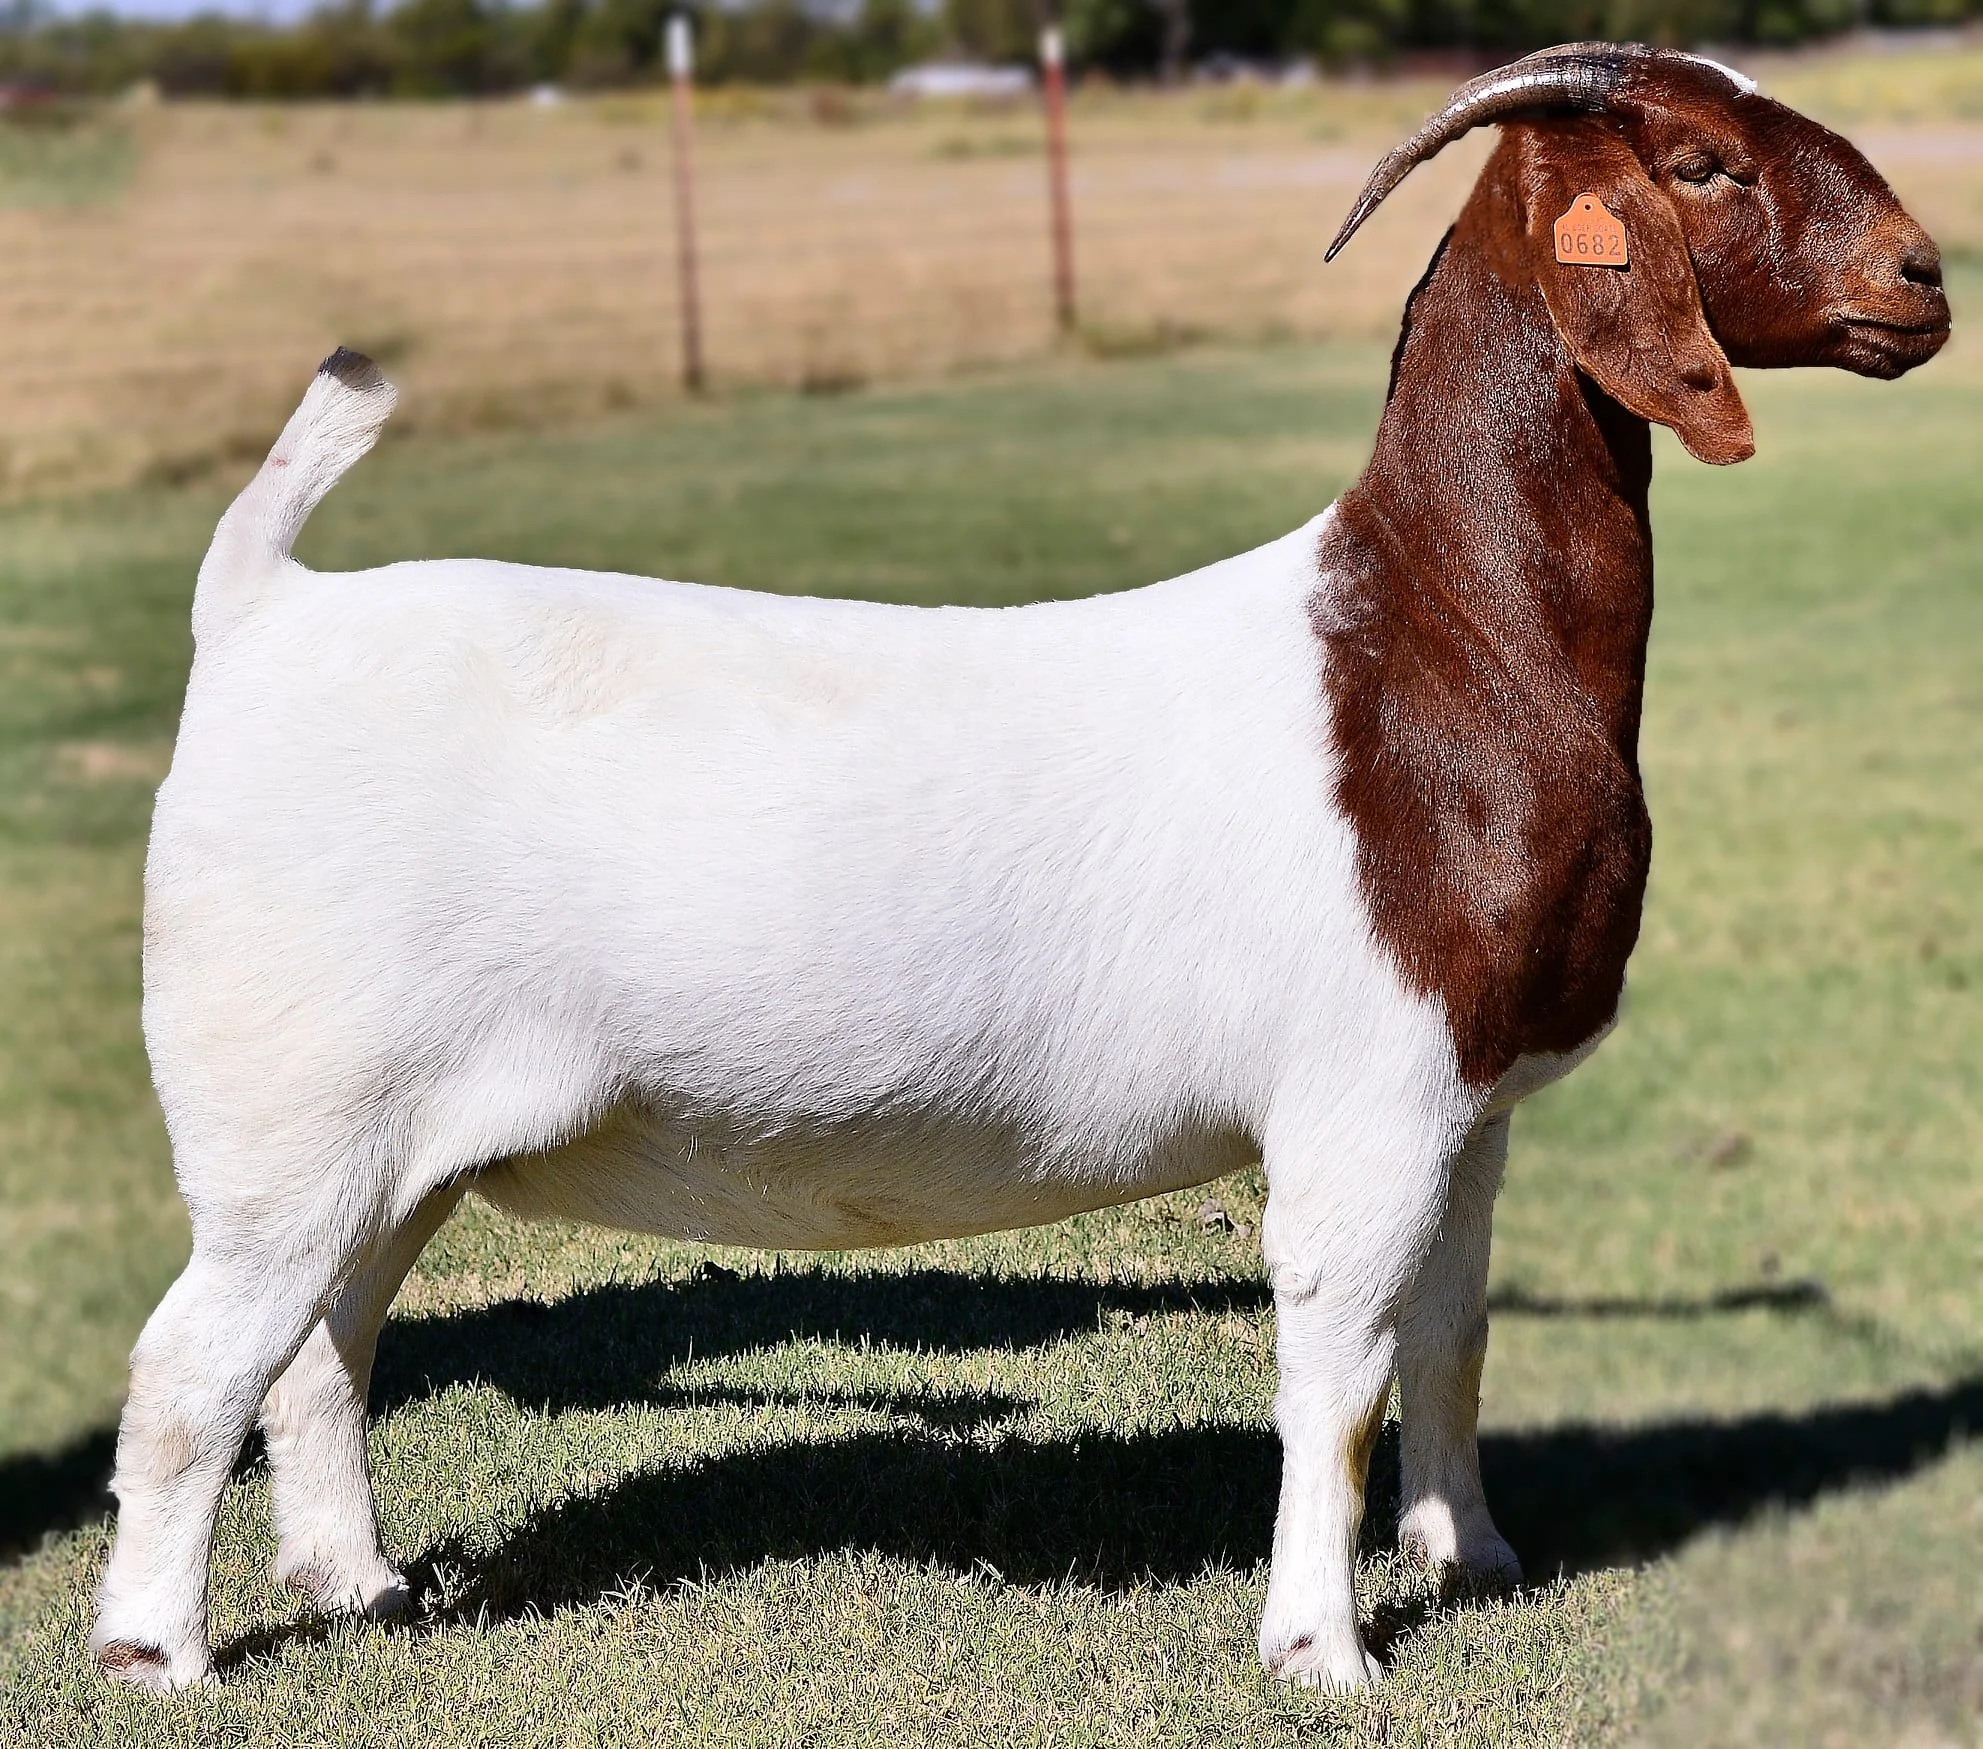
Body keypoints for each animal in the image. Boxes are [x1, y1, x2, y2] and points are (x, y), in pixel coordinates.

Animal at [94, 44, 1948, 1693]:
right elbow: (1333, 1360)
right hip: (290, 1110)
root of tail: (261, 613)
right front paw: (1321, 1648)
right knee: (195, 1363)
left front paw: (1468, 1556)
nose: (1921, 277)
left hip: (389, 1142)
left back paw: (356, 1584)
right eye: (1700, 162)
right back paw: (156, 1651)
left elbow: (1450, 1331)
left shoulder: (1470, 1098)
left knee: (323, 1350)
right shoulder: (1362, 1094)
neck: (1427, 643)